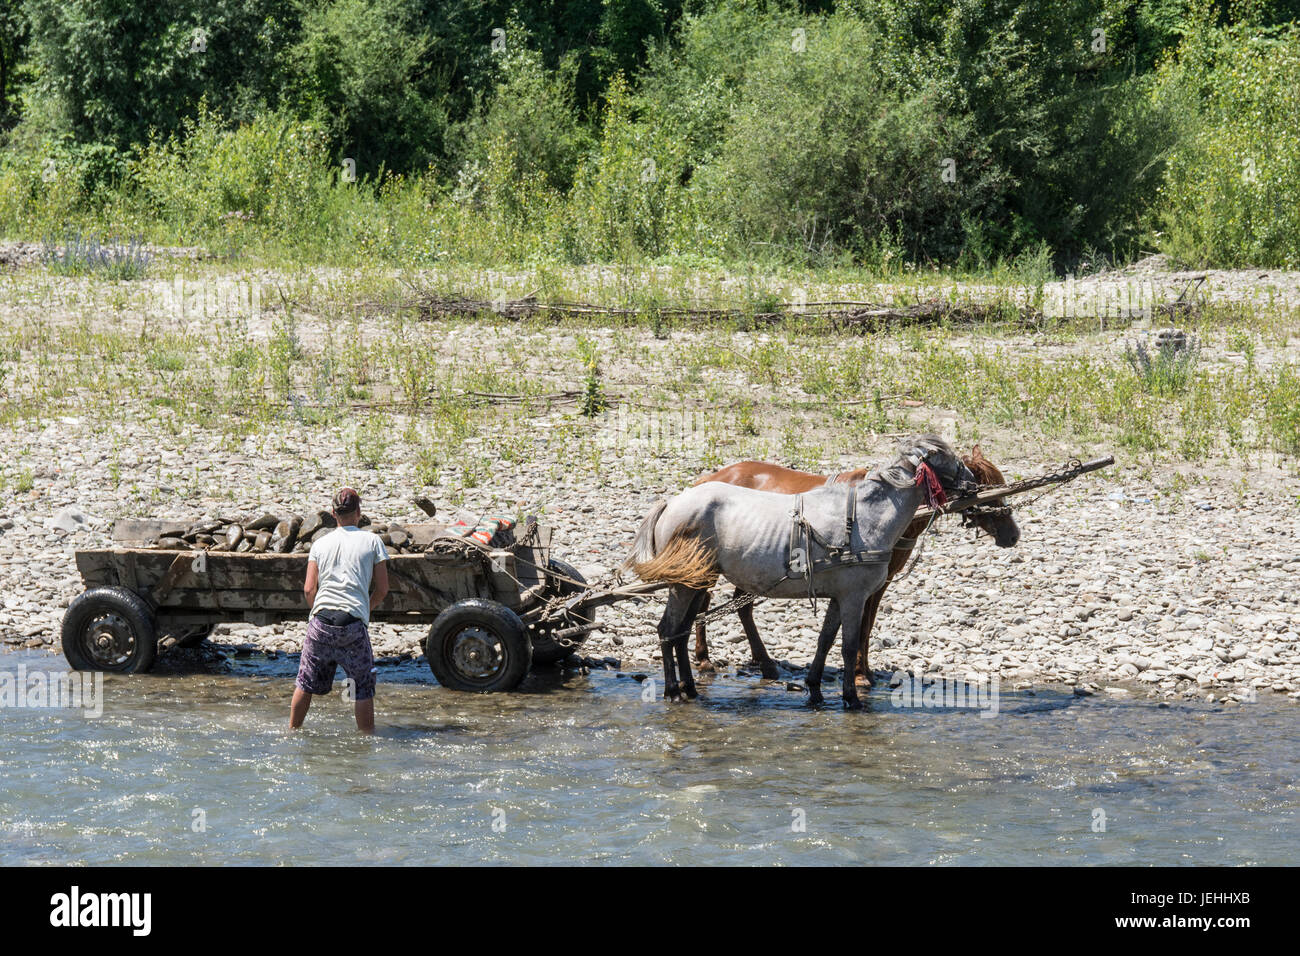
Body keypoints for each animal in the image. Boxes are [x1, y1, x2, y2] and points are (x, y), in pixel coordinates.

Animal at [625, 435, 978, 708]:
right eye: (946, 457)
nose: (973, 483)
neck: (866, 518)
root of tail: (672, 503)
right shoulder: (855, 597)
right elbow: (848, 647)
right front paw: (851, 698)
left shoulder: (839, 596)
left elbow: (825, 641)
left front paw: (816, 690)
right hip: (685, 583)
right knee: (668, 629)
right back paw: (673, 691)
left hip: (696, 580)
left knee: (681, 631)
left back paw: (690, 688)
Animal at [691, 447, 1019, 685]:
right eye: (990, 488)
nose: (1013, 534)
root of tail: (703, 481)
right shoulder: (865, 583)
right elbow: (862, 625)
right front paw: (860, 675)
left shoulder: (877, 582)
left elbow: (866, 626)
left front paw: (865, 671)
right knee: (705, 601)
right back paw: (707, 659)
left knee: (737, 605)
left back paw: (763, 663)